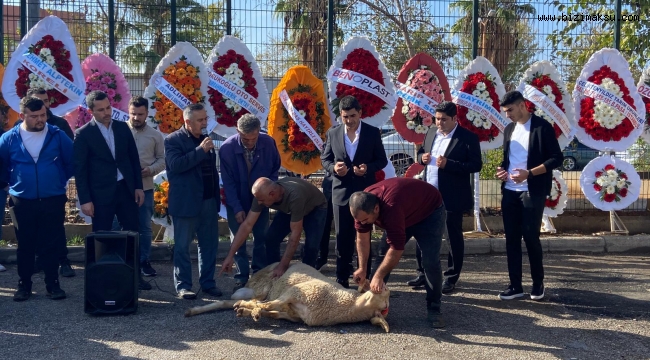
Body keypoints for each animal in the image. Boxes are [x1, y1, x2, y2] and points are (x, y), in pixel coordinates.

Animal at [185, 260, 392, 334]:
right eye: (385, 292)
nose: (378, 282)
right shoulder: (294, 292)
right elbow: (268, 305)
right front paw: (252, 311)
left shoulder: (293, 314)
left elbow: (270, 310)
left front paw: (248, 311)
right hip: (264, 286)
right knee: (252, 298)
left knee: (230, 302)